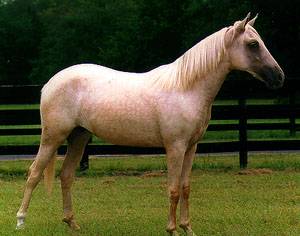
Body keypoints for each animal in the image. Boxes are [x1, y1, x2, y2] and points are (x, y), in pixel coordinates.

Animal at [15, 13, 284, 236]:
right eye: (253, 44)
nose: (279, 77)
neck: (186, 88)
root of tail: (50, 83)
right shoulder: (175, 147)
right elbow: (173, 189)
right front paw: (172, 229)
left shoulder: (191, 147)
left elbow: (185, 187)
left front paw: (187, 228)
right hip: (53, 137)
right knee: (34, 173)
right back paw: (20, 220)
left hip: (79, 137)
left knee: (66, 176)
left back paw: (72, 223)